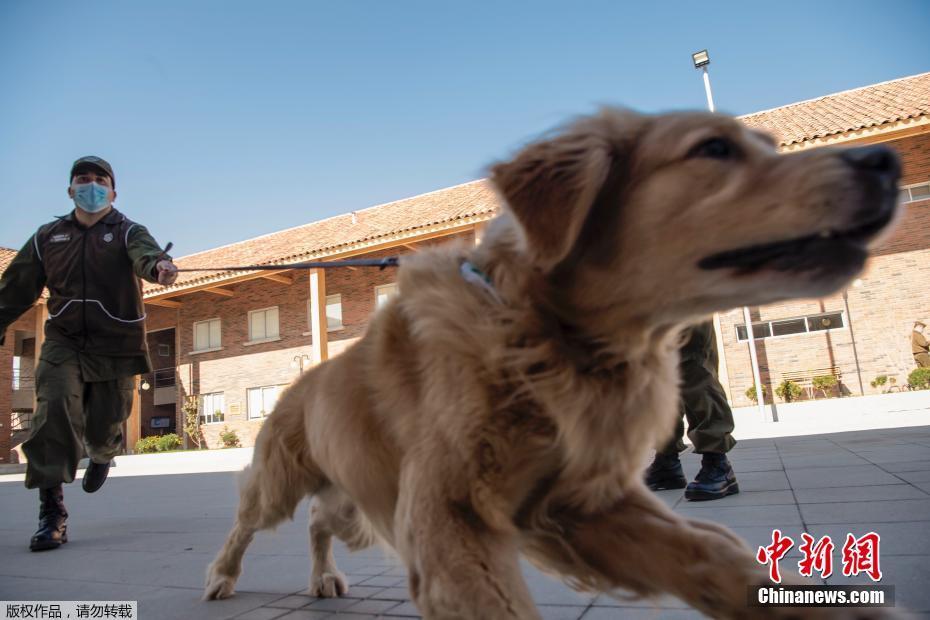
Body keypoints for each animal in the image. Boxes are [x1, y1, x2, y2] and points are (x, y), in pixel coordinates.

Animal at [201, 109, 900, 616]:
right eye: (714, 149)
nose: (886, 161)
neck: (543, 339)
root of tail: (303, 380)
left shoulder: (578, 503)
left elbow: (713, 555)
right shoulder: (447, 517)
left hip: (353, 498)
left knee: (322, 522)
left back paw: (324, 577)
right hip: (280, 481)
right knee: (247, 522)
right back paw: (221, 575)